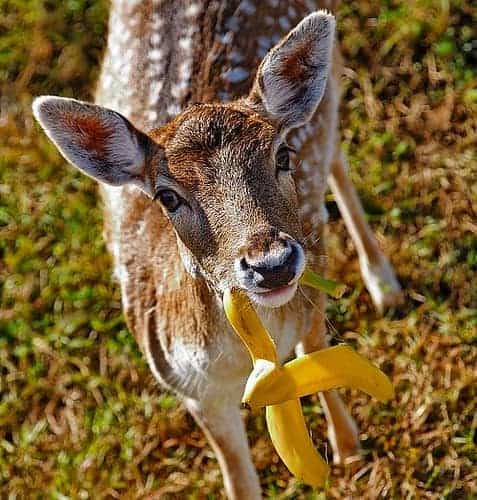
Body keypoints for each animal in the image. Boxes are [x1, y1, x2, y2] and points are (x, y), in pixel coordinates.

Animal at [31, 1, 400, 498]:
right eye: (167, 196)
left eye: (283, 155)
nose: (272, 264)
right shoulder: (193, 391)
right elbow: (240, 483)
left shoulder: (312, 285)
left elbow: (320, 351)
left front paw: (349, 452)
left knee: (337, 150)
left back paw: (385, 285)